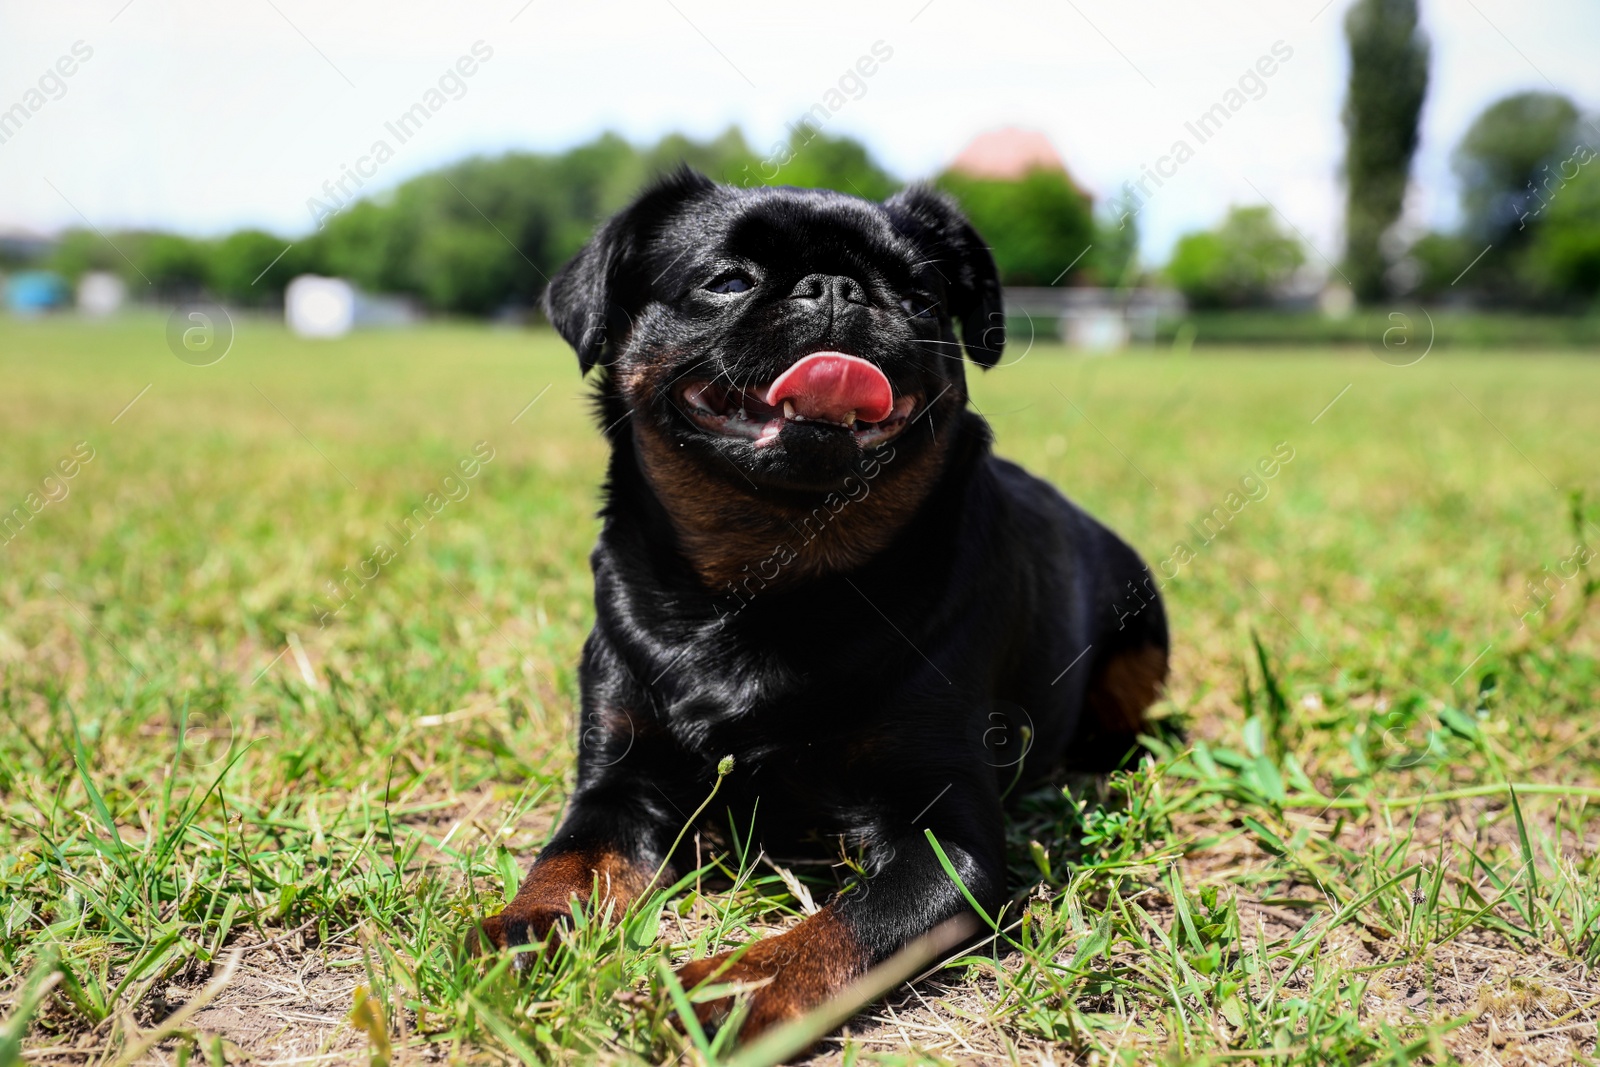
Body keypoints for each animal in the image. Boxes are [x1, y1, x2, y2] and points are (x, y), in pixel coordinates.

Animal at [480, 171, 1171, 1036]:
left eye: (918, 296)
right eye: (728, 280)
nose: (836, 287)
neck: (771, 583)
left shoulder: (947, 842)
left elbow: (846, 923)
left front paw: (729, 985)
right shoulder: (619, 781)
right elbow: (568, 856)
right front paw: (528, 925)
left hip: (1142, 634)